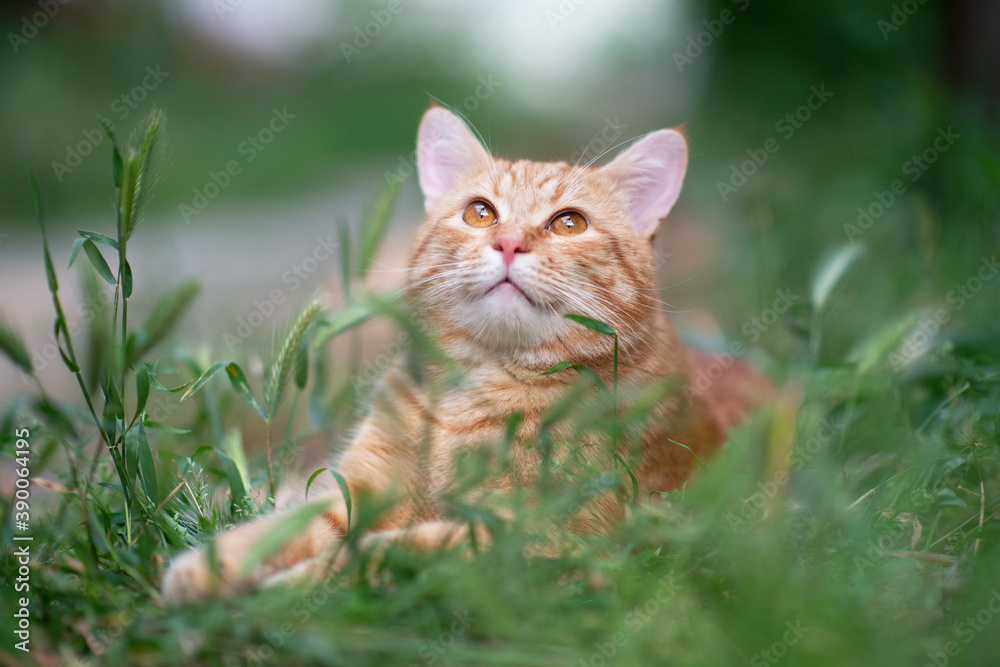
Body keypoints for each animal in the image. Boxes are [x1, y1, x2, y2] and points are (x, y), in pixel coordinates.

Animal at [166, 105, 772, 604]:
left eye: (569, 222)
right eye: (481, 213)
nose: (508, 243)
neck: (472, 388)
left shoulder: (533, 537)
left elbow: (379, 553)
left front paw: (291, 586)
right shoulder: (359, 489)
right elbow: (284, 527)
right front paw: (214, 566)